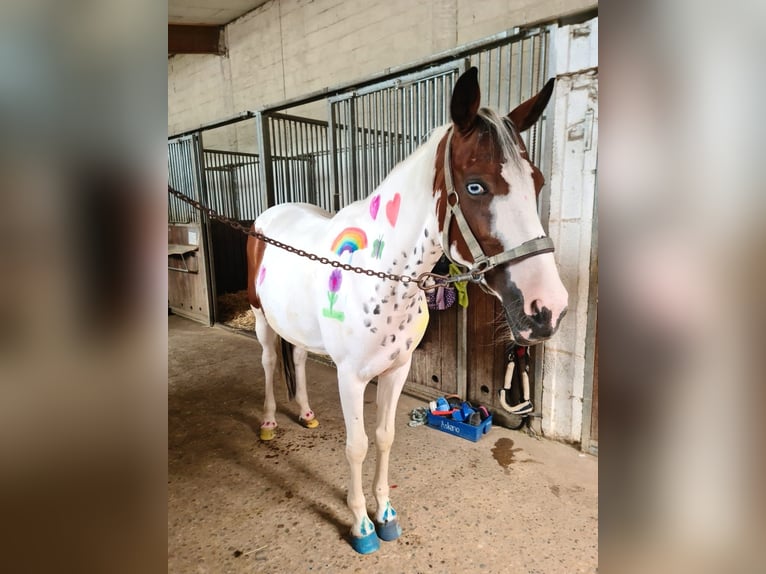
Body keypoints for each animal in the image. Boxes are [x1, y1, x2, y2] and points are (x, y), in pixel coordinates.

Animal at [246, 68, 568, 560]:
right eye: (475, 186)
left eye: (538, 181)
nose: (547, 309)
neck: (381, 274)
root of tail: (268, 217)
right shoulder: (350, 377)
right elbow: (357, 445)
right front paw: (361, 524)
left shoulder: (396, 370)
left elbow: (385, 437)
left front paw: (385, 514)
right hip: (262, 318)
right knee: (266, 363)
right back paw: (267, 423)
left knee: (297, 358)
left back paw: (305, 413)